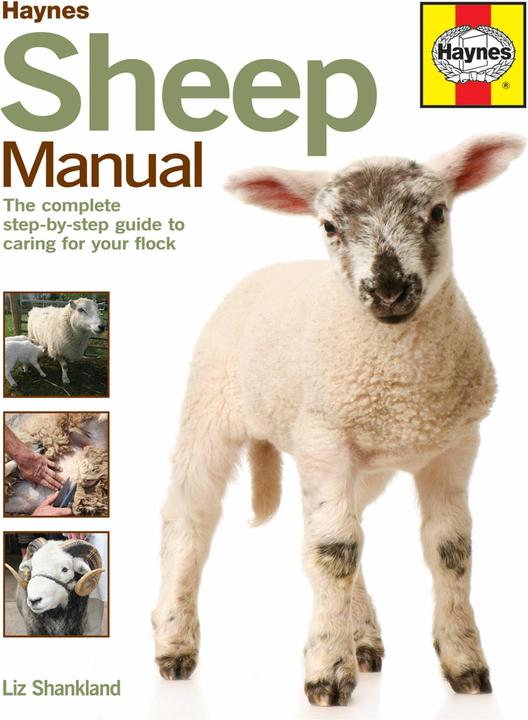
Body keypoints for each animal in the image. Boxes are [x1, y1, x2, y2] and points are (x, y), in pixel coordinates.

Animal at [152, 134, 523, 705]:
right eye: (329, 226)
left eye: (438, 213)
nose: (389, 289)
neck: (405, 389)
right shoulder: (325, 438)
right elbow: (334, 552)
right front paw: (327, 671)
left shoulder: (454, 446)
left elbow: (450, 550)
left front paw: (465, 663)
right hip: (211, 409)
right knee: (189, 518)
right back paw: (173, 642)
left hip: (361, 463)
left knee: (349, 526)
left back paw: (364, 637)